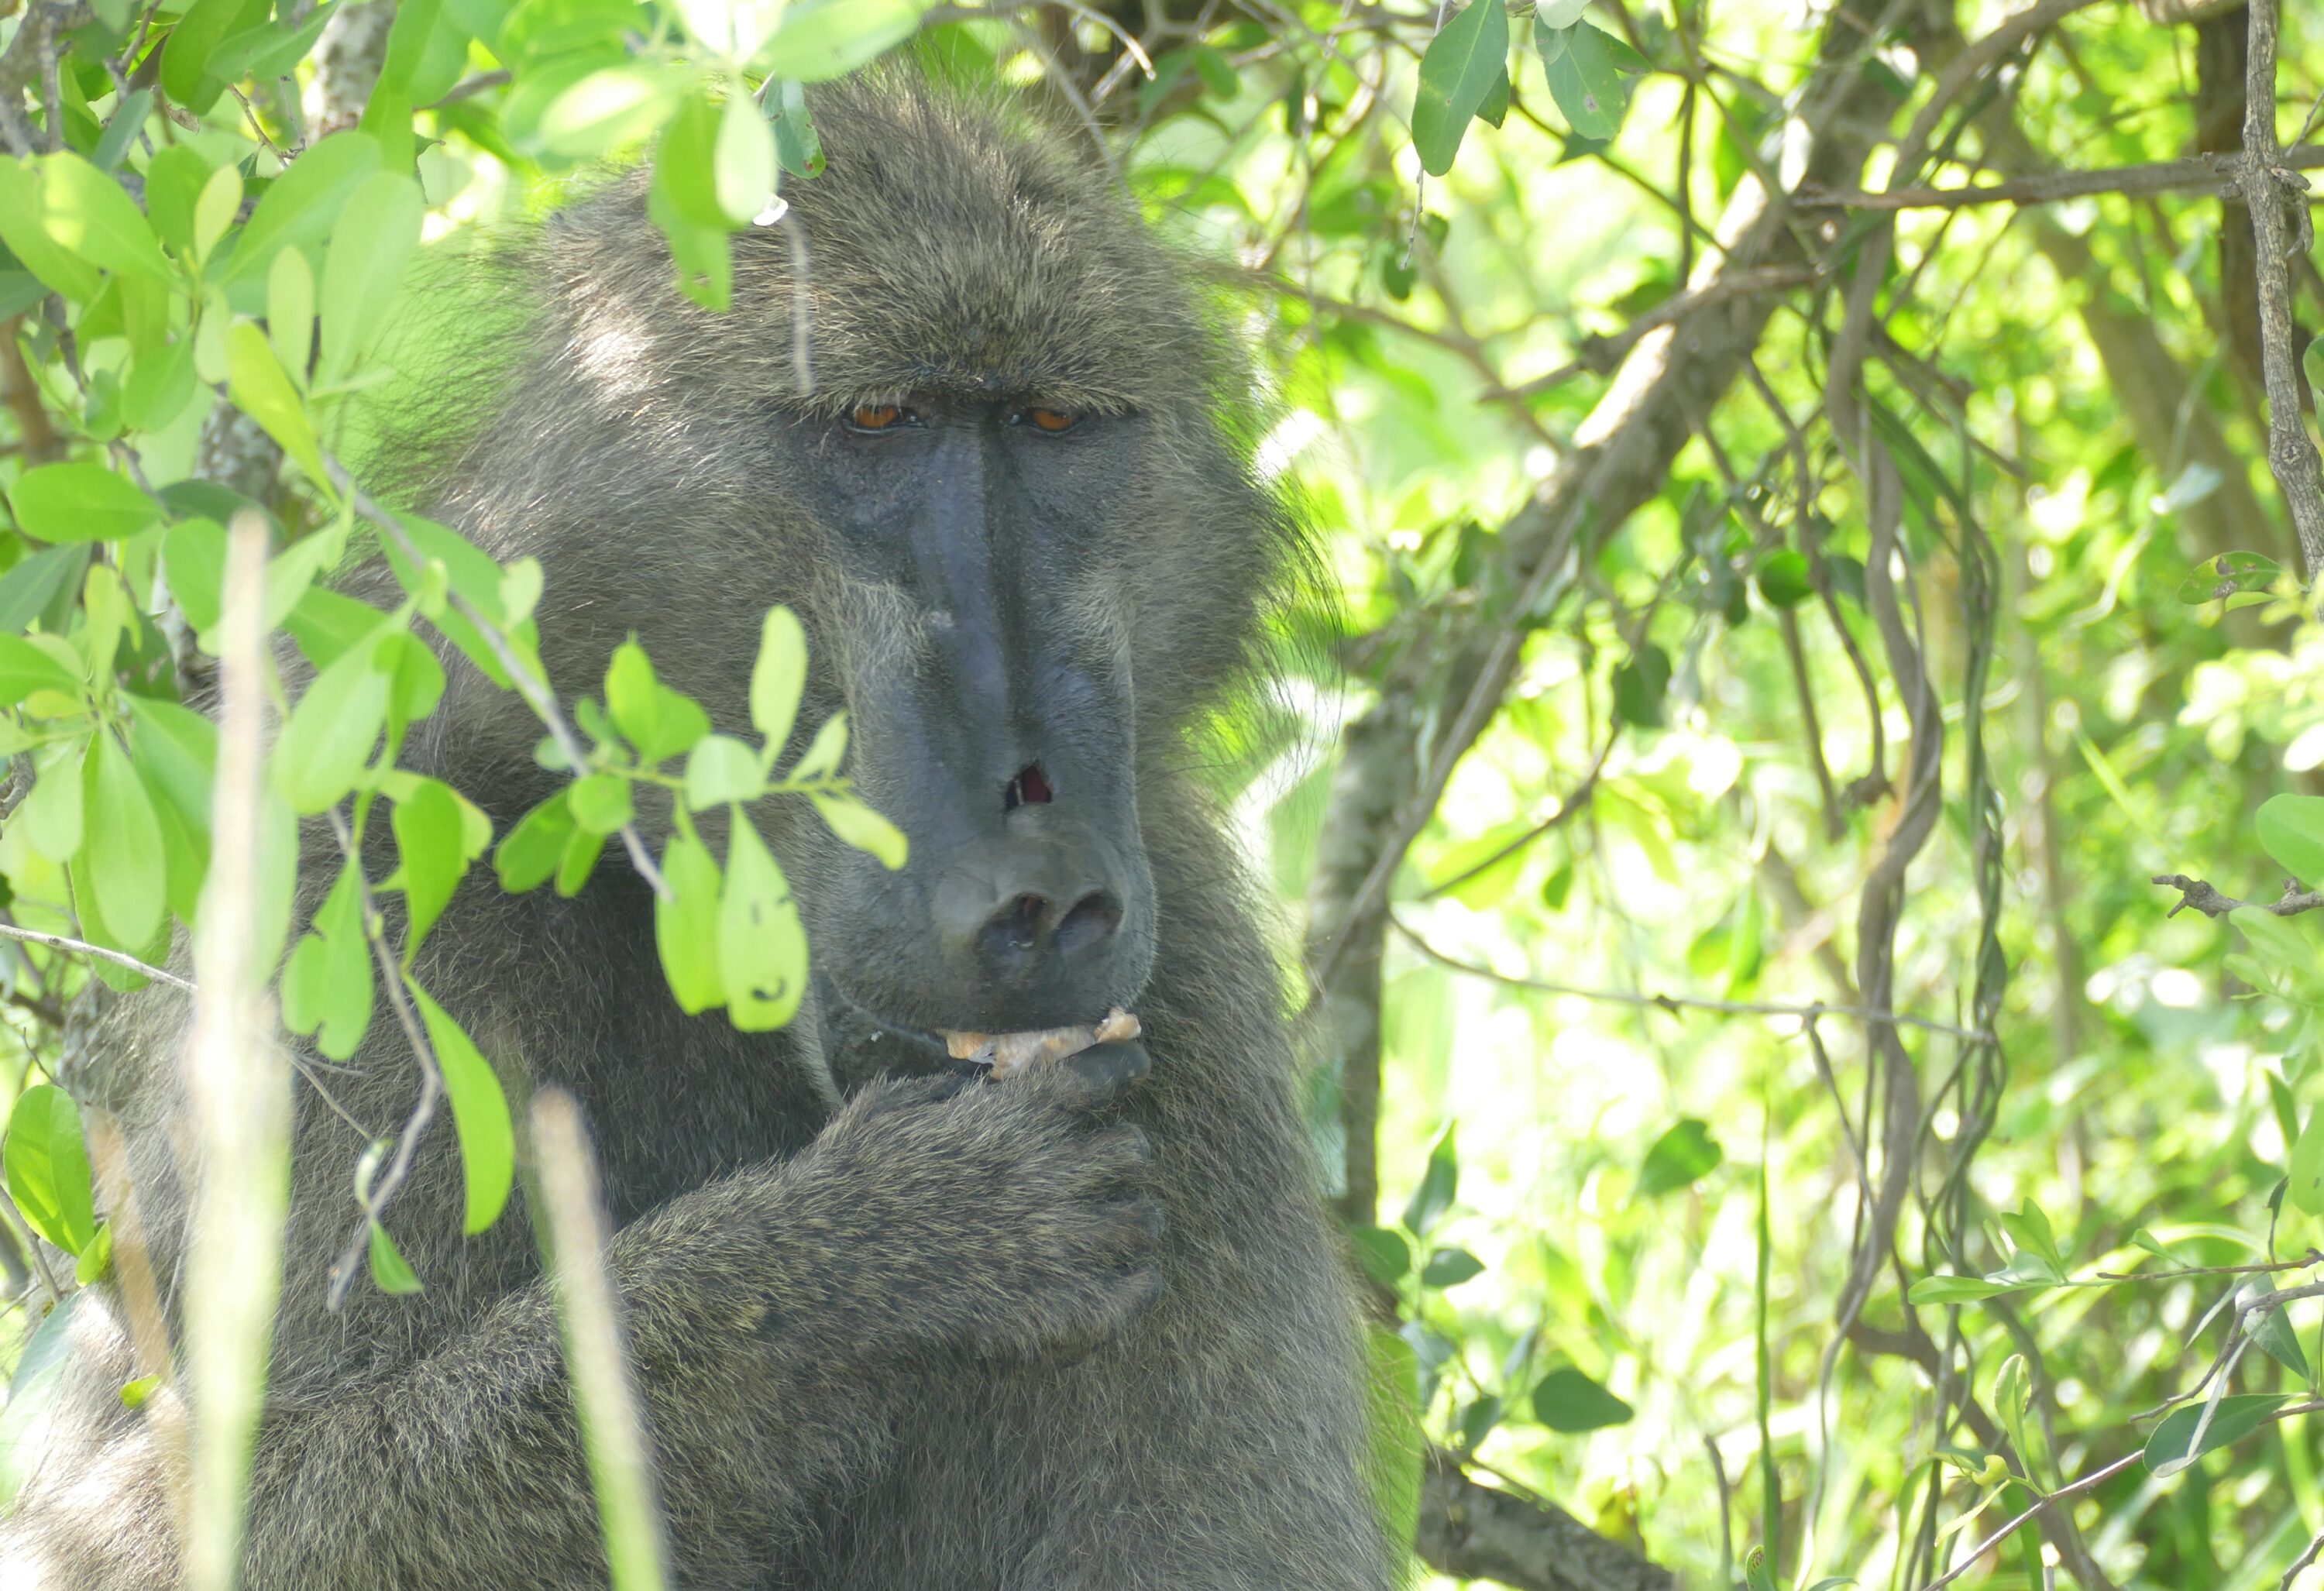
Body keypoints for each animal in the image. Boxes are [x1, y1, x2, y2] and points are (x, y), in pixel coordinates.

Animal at [0, 66, 1399, 1591]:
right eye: (880, 420)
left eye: (1053, 427)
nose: (1042, 884)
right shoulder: (357, 897)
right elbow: (172, 1520)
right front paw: (882, 1251)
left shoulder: (1187, 1013)